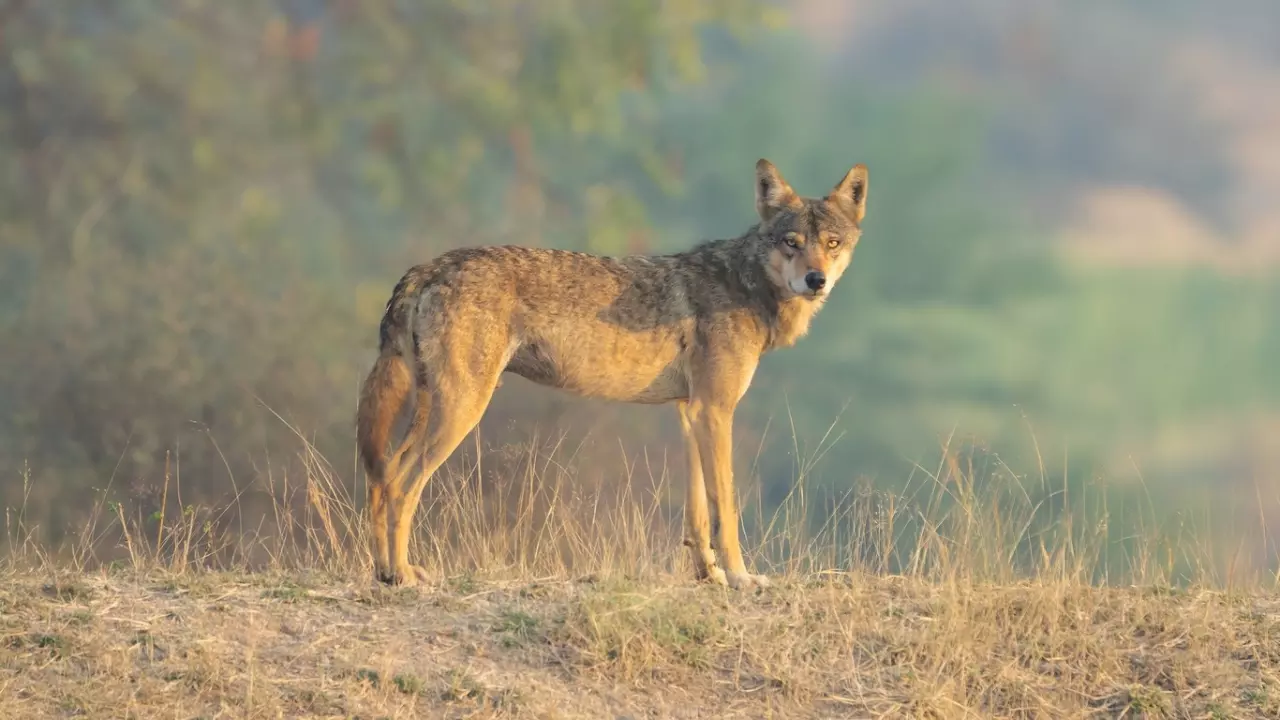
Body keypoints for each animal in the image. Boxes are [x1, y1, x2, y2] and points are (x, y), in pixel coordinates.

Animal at [356, 158, 868, 589]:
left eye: (832, 244)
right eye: (791, 243)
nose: (816, 280)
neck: (746, 284)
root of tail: (428, 267)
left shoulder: (691, 413)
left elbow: (698, 513)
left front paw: (710, 576)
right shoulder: (716, 411)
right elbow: (726, 507)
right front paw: (741, 578)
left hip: (436, 409)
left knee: (381, 479)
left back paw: (385, 572)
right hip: (461, 410)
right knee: (400, 484)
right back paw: (402, 575)